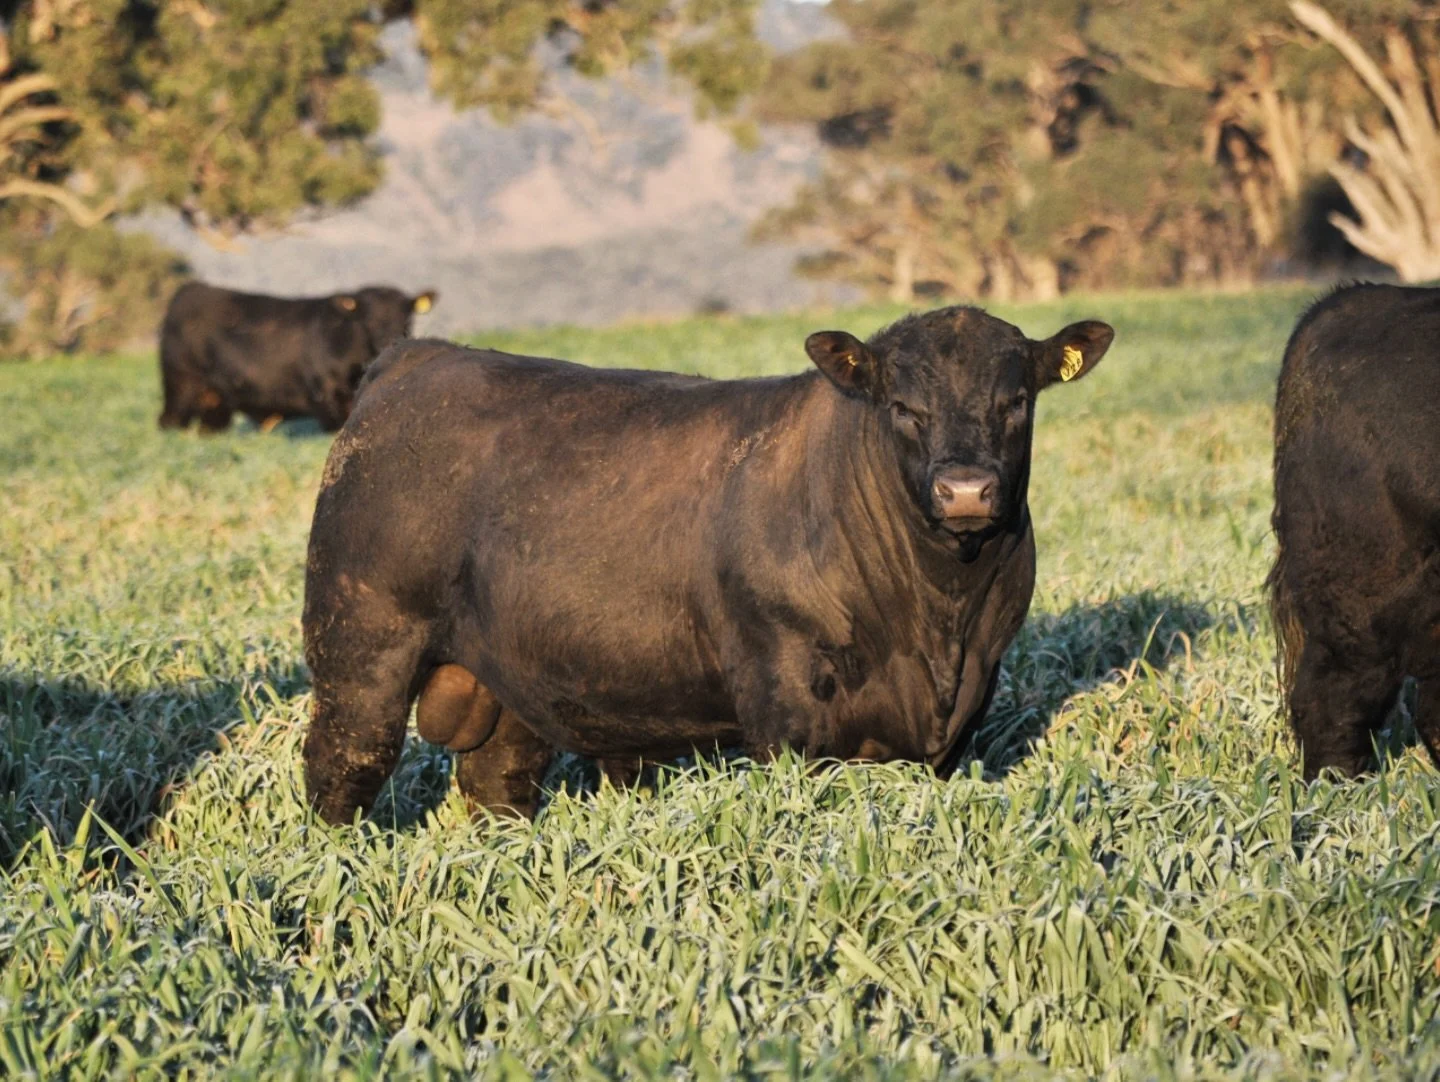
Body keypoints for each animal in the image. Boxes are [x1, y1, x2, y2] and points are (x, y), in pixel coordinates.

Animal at [157, 281, 437, 433]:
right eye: (366, 317)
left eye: (406, 315)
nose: (389, 340)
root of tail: (192, 288)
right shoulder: (328, 397)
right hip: (181, 386)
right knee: (168, 422)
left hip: (215, 403)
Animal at [301, 306, 1115, 824]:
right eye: (903, 406)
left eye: (1017, 400)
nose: (967, 490)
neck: (938, 620)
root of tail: (420, 356)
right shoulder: (783, 700)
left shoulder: (970, 703)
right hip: (361, 648)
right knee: (343, 766)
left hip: (509, 682)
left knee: (498, 782)